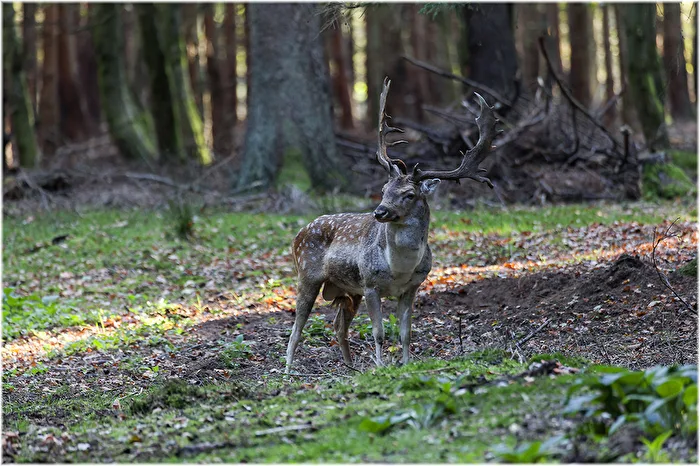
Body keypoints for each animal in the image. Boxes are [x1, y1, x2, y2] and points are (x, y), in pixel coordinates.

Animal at [285, 77, 497, 373]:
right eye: (384, 189)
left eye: (409, 194)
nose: (380, 211)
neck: (399, 269)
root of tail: (297, 235)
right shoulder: (370, 284)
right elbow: (379, 333)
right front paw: (381, 367)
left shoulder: (412, 288)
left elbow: (405, 333)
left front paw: (406, 364)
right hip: (307, 274)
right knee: (297, 325)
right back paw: (288, 370)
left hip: (348, 291)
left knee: (339, 326)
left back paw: (351, 367)